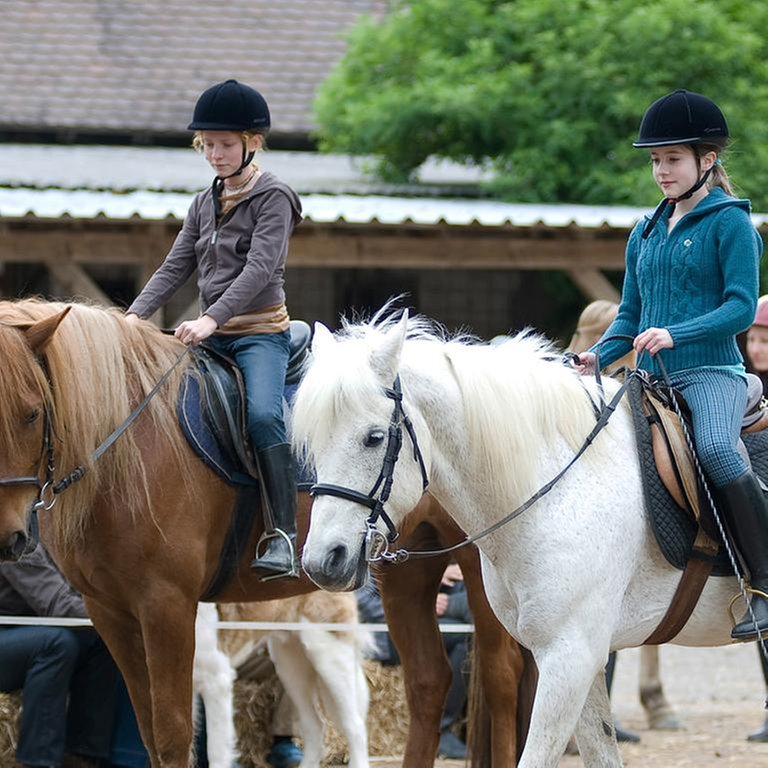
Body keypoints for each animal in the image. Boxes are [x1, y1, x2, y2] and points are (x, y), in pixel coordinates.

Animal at [0, 300, 528, 768]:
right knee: (427, 682)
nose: (11, 537)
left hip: (480, 570)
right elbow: (150, 734)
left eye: (31, 413)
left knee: (501, 681)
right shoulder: (110, 613)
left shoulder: (166, 607)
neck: (129, 444)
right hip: (406, 571)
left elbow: (173, 737)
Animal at [292, 310, 744, 768]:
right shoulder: (579, 660)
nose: (322, 561)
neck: (563, 483)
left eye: (374, 437)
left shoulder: (570, 656)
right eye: (313, 441)